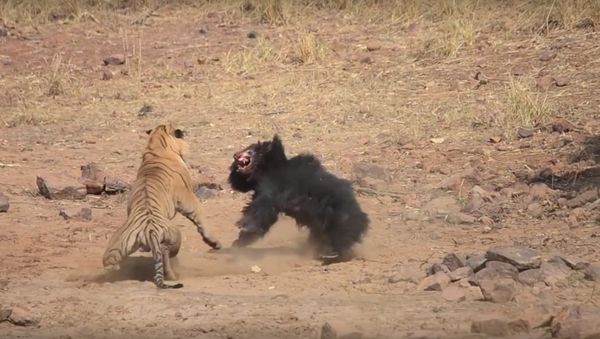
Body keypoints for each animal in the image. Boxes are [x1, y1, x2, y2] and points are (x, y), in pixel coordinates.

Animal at [102, 125, 221, 290]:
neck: (156, 148)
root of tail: (150, 230)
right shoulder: (188, 198)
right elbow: (200, 218)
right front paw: (214, 242)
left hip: (117, 245)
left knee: (109, 262)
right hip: (176, 235)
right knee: (166, 253)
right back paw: (172, 275)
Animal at [227, 135, 368, 262]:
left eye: (250, 151)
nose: (235, 155)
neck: (267, 169)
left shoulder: (272, 186)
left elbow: (261, 211)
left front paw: (242, 229)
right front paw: (239, 242)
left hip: (336, 213)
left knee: (339, 231)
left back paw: (330, 253)